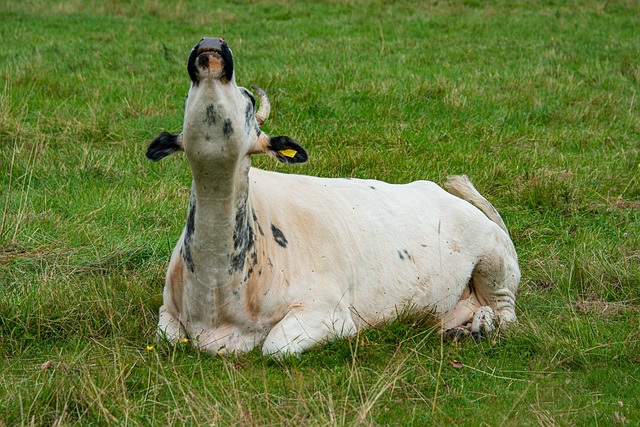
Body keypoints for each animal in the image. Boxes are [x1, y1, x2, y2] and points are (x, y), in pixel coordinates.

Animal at [145, 37, 520, 358]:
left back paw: (484, 325)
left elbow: (275, 347)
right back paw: (460, 328)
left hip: (495, 263)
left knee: (507, 314)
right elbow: (167, 338)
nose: (211, 45)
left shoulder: (328, 312)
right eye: (186, 98)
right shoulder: (168, 312)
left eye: (248, 99)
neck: (218, 290)